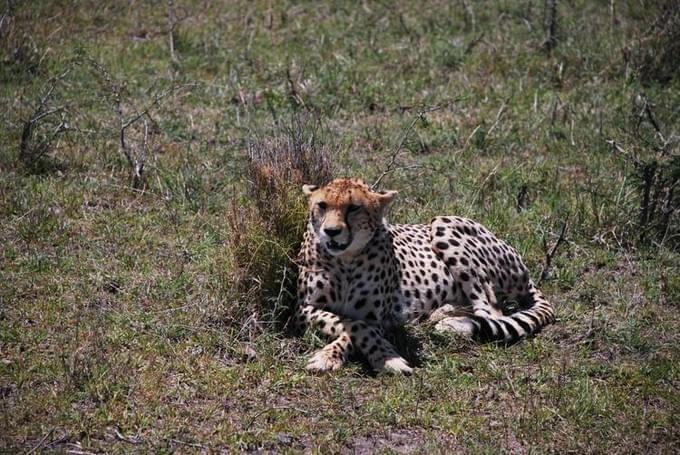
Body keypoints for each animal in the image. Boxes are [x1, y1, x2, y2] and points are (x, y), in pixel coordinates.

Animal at [294, 178, 556, 374]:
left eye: (353, 207)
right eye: (322, 205)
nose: (330, 232)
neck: (346, 260)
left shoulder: (380, 318)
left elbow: (357, 328)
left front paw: (387, 358)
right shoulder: (303, 308)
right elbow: (349, 324)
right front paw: (329, 357)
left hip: (442, 222)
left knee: (492, 312)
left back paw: (454, 324)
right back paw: (440, 314)